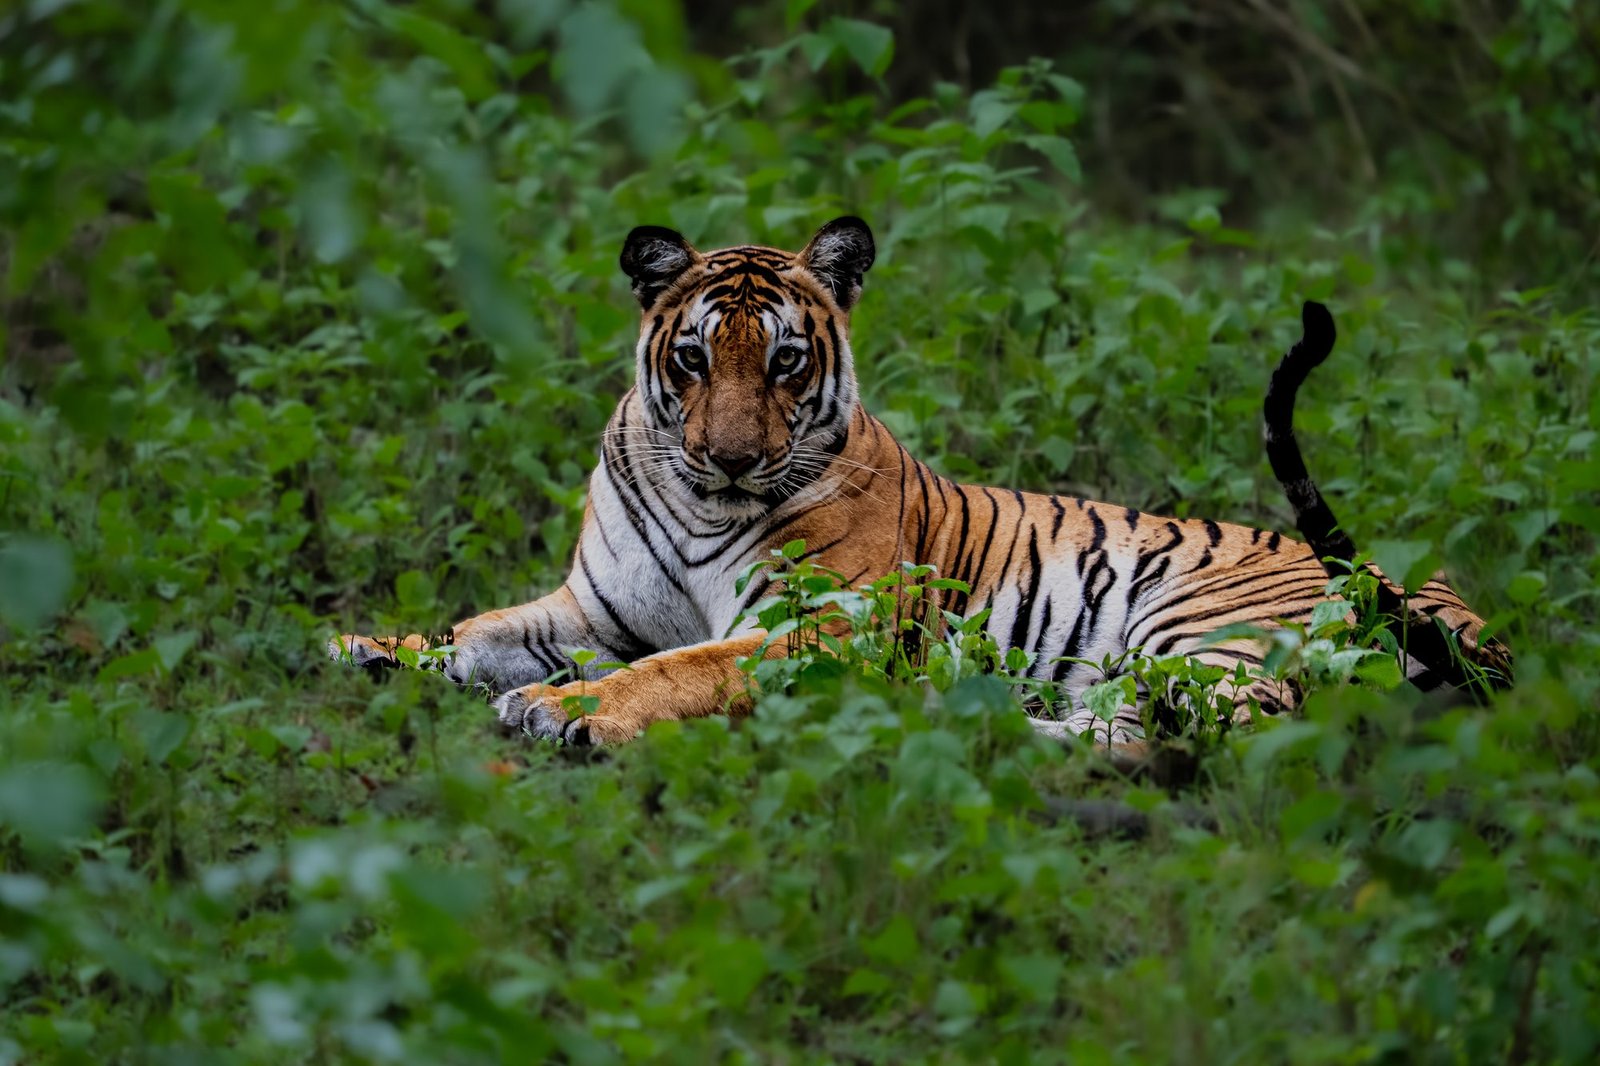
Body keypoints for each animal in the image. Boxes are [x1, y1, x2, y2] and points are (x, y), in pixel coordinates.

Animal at [330, 217, 1511, 746]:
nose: (731, 456)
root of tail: (1483, 625)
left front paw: (556, 706)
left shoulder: (821, 625)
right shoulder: (592, 610)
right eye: (696, 358)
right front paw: (366, 647)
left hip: (1205, 630)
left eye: (786, 363)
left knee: (1182, 740)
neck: (698, 500)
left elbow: (682, 668)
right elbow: (477, 628)